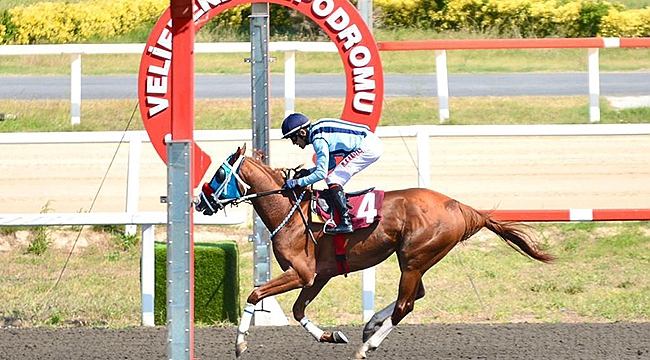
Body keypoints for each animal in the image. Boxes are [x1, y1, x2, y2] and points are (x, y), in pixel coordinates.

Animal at [195, 144, 548, 360]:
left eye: (219, 174)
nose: (200, 201)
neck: (292, 214)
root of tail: (460, 206)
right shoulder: (318, 276)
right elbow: (297, 311)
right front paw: (331, 336)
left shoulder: (302, 273)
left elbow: (255, 294)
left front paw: (240, 343)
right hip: (416, 259)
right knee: (416, 295)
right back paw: (371, 324)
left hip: (413, 258)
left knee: (406, 304)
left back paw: (368, 345)